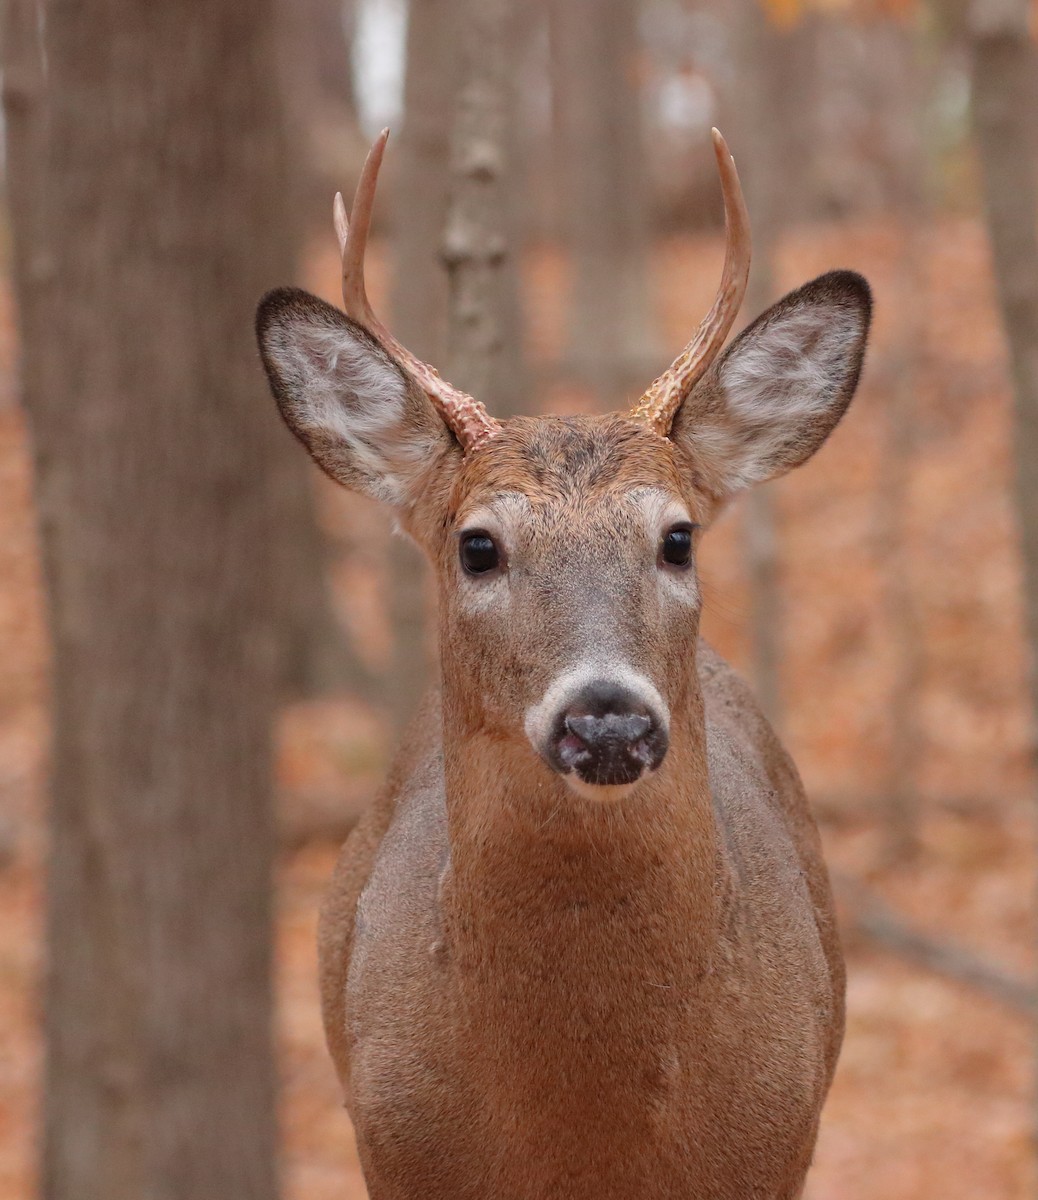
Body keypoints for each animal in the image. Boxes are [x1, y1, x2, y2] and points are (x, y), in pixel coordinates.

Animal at [256, 128, 871, 1200]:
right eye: (477, 546)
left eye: (678, 538)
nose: (608, 718)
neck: (586, 1137)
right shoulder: (393, 1147)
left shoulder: (779, 1142)